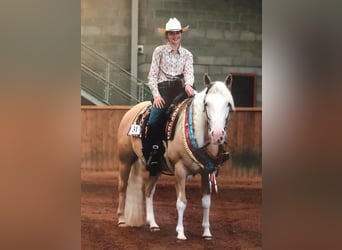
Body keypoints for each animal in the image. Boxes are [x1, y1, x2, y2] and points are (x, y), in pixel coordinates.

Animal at [117, 73, 235, 240]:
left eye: (228, 105)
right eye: (206, 104)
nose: (218, 135)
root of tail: (132, 111)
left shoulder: (206, 171)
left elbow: (206, 202)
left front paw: (207, 232)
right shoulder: (180, 170)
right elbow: (181, 202)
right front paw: (180, 232)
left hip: (155, 168)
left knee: (148, 191)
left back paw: (153, 224)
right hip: (125, 160)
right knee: (122, 186)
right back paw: (121, 219)